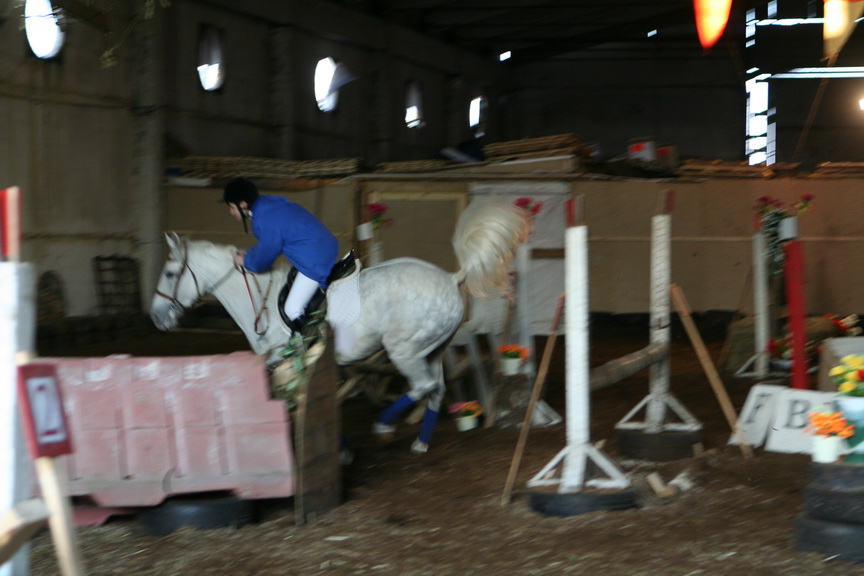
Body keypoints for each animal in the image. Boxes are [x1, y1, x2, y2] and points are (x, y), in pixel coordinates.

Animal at [150, 197, 530, 453]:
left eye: (169, 274)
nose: (155, 317)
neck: (260, 300)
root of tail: (451, 278)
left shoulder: (289, 362)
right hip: (431, 349)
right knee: (435, 389)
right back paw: (421, 443)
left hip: (404, 350)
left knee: (422, 386)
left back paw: (383, 425)